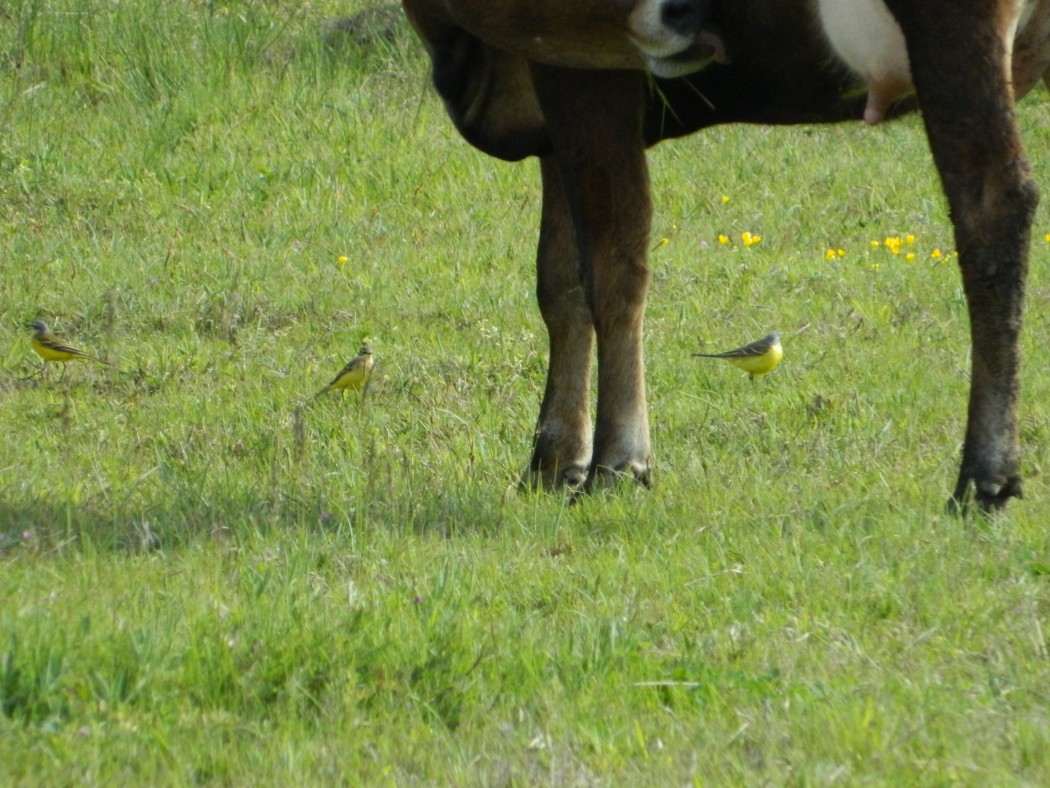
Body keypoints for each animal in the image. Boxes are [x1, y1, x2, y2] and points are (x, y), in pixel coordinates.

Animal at [403, 0, 1050, 512]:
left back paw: (984, 477)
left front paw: (616, 463)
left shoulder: (586, 65)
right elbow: (560, 285)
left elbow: (613, 268)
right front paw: (555, 459)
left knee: (992, 203)